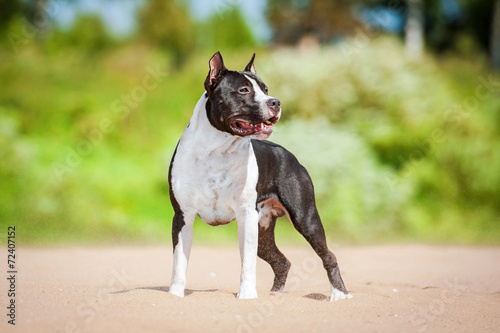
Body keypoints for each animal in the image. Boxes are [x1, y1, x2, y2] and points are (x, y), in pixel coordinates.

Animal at [166, 52, 350, 300]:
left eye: (265, 88)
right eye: (243, 90)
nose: (275, 101)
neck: (217, 150)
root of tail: (289, 154)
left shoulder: (246, 218)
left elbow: (247, 264)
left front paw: (247, 296)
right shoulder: (183, 217)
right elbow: (179, 263)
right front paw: (174, 295)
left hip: (305, 219)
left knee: (328, 255)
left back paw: (339, 294)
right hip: (263, 232)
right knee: (281, 262)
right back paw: (276, 295)